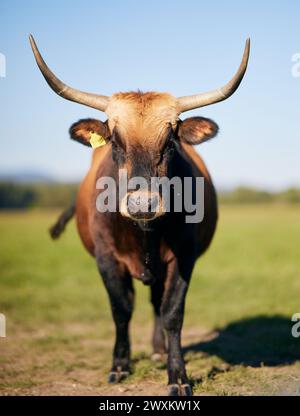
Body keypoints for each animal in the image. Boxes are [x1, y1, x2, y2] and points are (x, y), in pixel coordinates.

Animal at [29, 35, 250, 396]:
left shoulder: (183, 257)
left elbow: (172, 312)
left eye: (170, 141)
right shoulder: (106, 258)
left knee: (157, 302)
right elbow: (121, 309)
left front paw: (178, 376)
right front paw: (120, 365)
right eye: (116, 143)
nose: (142, 203)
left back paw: (159, 351)